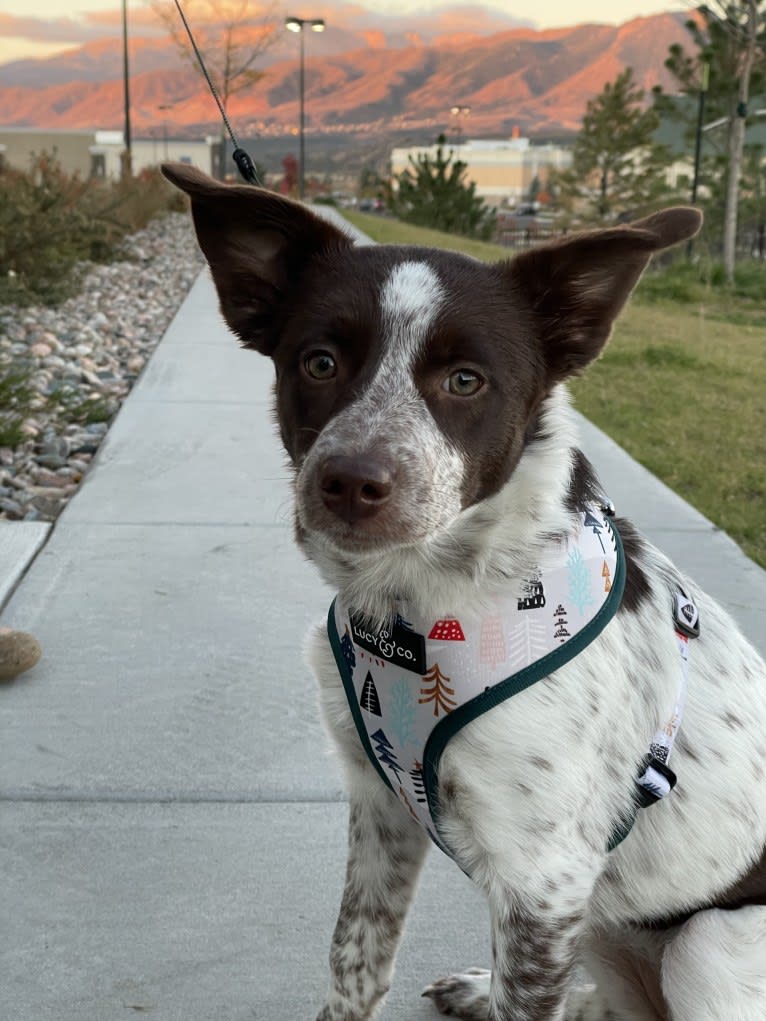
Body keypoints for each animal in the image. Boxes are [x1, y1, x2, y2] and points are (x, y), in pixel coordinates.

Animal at [162, 161, 766, 1021]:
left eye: (465, 379)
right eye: (319, 362)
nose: (350, 481)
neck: (421, 600)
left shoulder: (543, 882)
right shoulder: (383, 802)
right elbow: (354, 962)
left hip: (704, 943)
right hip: (609, 925)